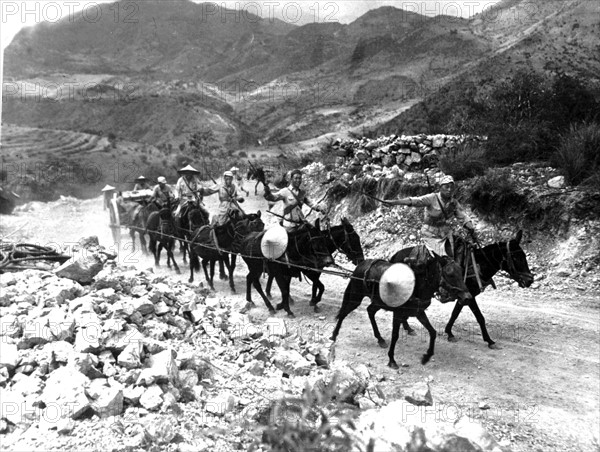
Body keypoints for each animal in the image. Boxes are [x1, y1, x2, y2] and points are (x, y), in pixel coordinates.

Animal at [328, 249, 474, 370]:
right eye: (450, 274)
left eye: (461, 272)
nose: (467, 297)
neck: (417, 286)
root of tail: (361, 264)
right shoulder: (398, 313)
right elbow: (395, 335)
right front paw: (392, 360)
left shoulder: (418, 312)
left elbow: (432, 332)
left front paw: (426, 357)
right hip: (355, 298)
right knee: (343, 313)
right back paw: (333, 336)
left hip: (377, 302)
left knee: (370, 311)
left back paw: (380, 339)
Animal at [400, 230, 532, 350]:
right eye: (515, 257)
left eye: (524, 256)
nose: (530, 280)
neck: (476, 266)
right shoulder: (469, 296)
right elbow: (479, 317)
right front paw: (489, 340)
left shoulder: (465, 296)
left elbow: (455, 313)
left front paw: (449, 332)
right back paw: (407, 327)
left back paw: (408, 328)